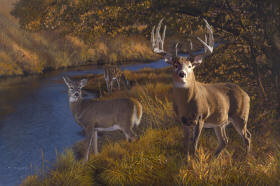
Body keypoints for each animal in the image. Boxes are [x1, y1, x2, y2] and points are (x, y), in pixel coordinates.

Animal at [151, 18, 252, 157]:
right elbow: (186, 144)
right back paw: (213, 159)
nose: (182, 74)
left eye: (190, 66)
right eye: (175, 65)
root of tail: (246, 94)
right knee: (225, 140)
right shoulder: (182, 120)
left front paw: (195, 159)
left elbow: (194, 144)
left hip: (240, 115)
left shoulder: (201, 117)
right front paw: (187, 160)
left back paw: (245, 158)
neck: (186, 105)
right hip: (220, 122)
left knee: (247, 136)